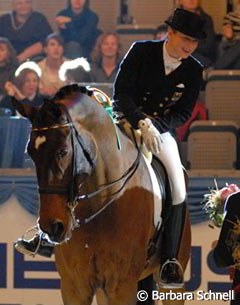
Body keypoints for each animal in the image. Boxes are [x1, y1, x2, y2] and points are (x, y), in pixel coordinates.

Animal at [14, 83, 191, 304]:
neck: (100, 202)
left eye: (63, 151)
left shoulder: (121, 286)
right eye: (31, 153)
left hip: (172, 283)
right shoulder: (75, 286)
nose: (52, 227)